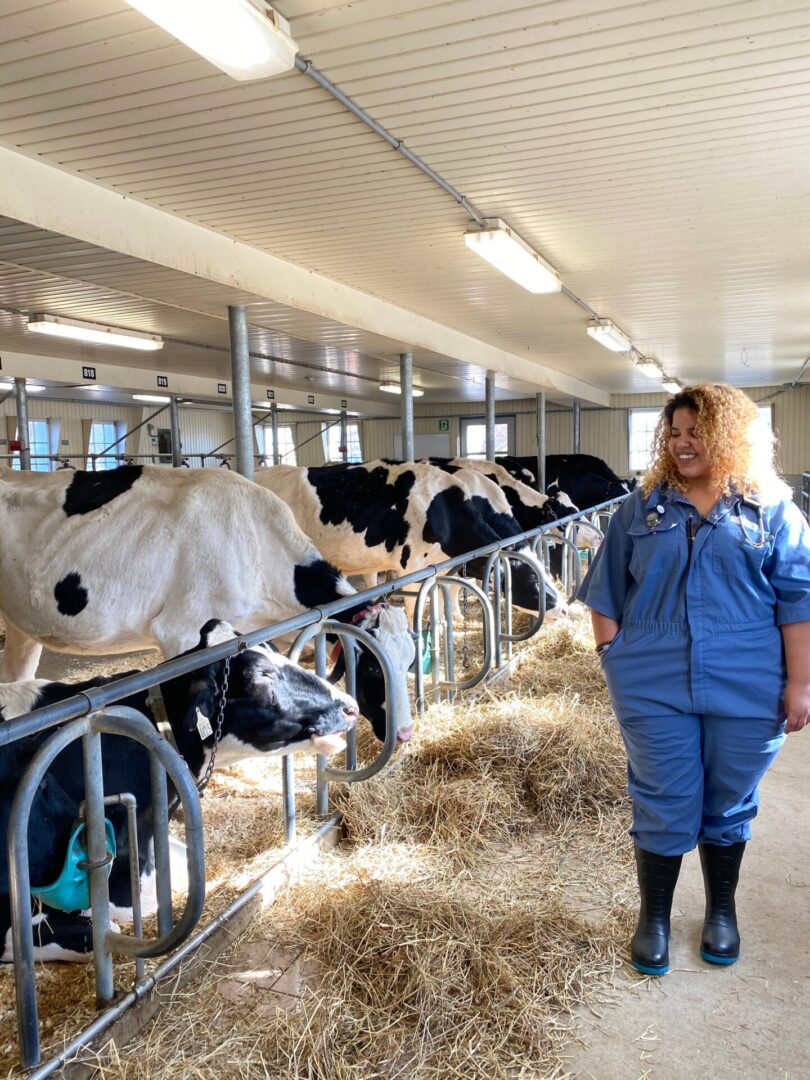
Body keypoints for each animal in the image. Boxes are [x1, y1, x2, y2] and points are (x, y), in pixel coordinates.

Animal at [0, 468, 419, 747]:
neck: (256, 545)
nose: (404, 734)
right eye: (372, 667)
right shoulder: (181, 632)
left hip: (21, 626)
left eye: (410, 661)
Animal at [254, 460, 565, 617]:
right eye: (533, 578)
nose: (563, 610)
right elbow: (419, 604)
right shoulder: (412, 570)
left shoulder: (446, 565)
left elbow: (446, 595)